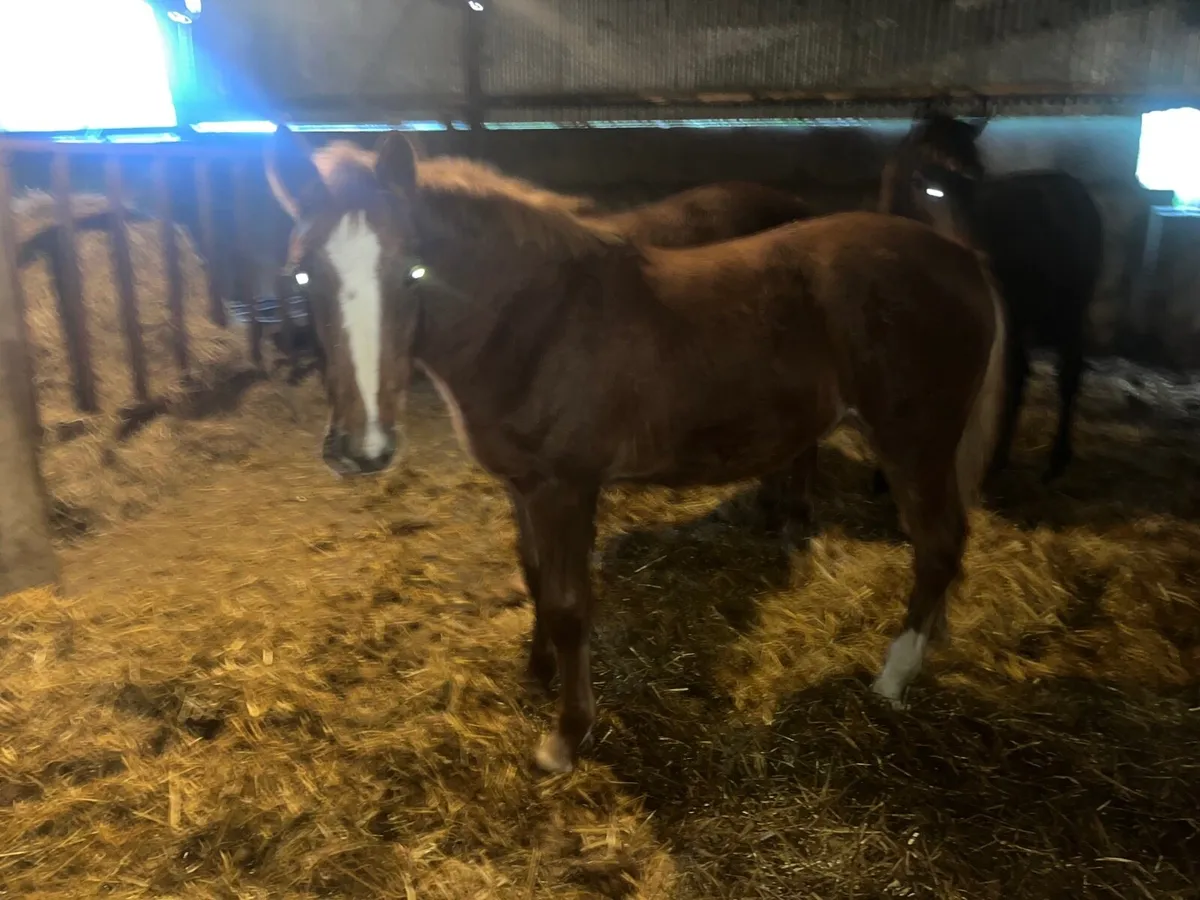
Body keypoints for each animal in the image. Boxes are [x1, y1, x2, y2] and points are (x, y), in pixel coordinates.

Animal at [266, 128, 1006, 775]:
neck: (538, 323)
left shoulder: (566, 487)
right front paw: (535, 674)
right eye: (300, 276)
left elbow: (569, 604)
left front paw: (565, 737)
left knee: (937, 544)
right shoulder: (521, 485)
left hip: (915, 441)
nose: (361, 448)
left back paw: (893, 674)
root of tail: (962, 259)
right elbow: (533, 578)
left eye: (413, 269)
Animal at [878, 102, 1104, 488]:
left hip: (1068, 312)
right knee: (1019, 377)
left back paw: (1054, 462)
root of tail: (1075, 190)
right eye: (927, 186)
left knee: (1067, 376)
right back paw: (1000, 460)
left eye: (979, 177)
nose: (981, 257)